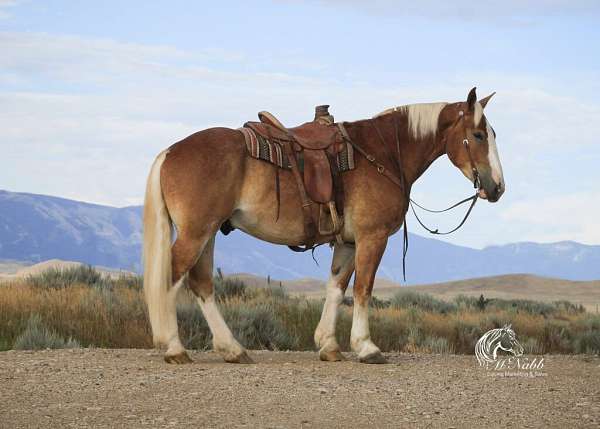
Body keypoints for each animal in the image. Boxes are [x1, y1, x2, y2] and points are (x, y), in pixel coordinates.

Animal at [143, 88, 504, 364]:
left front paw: (329, 345)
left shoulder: (347, 242)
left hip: (208, 233)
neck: (383, 153)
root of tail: (170, 151)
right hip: (196, 232)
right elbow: (362, 289)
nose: (497, 187)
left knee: (202, 283)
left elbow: (336, 288)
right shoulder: (372, 238)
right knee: (173, 277)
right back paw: (174, 347)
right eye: (478, 135)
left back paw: (232, 349)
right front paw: (366, 347)